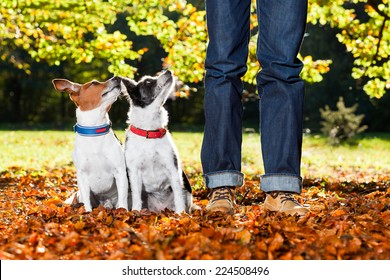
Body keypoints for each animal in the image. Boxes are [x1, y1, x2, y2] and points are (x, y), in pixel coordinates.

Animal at [52, 75, 129, 211]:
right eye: (94, 83)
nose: (117, 77)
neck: (94, 130)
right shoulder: (82, 175)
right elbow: (87, 203)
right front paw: (87, 213)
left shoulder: (120, 171)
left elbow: (123, 200)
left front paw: (124, 212)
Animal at [120, 71, 193, 213]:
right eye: (148, 81)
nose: (168, 71)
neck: (150, 131)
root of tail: (160, 209)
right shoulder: (134, 172)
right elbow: (136, 197)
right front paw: (135, 213)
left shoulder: (173, 168)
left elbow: (178, 195)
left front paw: (180, 214)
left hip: (186, 191)